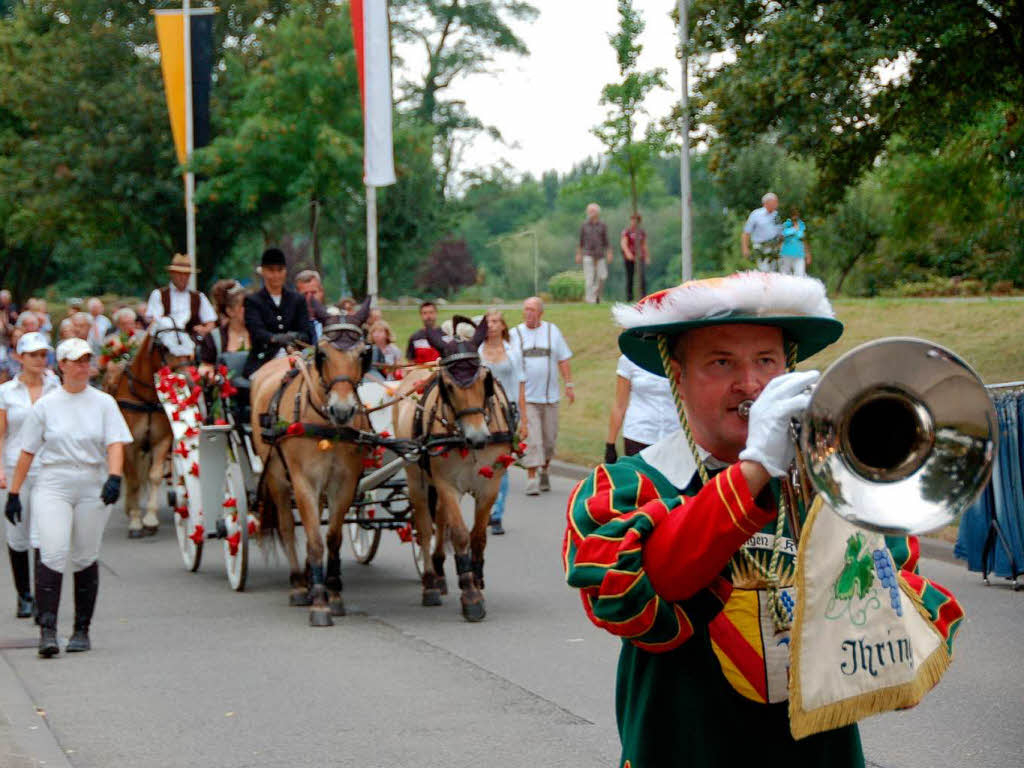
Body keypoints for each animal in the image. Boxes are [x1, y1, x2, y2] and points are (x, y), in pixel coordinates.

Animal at [108, 319, 195, 540]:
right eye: (165, 347)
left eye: (190, 344)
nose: (188, 381)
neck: (145, 397)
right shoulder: (129, 444)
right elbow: (134, 481)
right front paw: (136, 522)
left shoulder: (161, 440)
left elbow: (154, 476)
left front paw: (150, 520)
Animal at [248, 299, 372, 626]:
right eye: (322, 354)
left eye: (363, 353)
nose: (342, 410)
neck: (327, 426)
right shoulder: (303, 481)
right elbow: (314, 538)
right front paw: (318, 601)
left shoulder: (343, 483)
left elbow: (332, 537)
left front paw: (334, 593)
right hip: (276, 477)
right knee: (288, 526)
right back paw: (298, 584)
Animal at [393, 321, 516, 622]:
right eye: (448, 385)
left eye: (485, 380)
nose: (478, 437)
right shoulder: (446, 483)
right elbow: (459, 534)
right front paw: (471, 595)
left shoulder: (489, 485)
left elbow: (478, 536)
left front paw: (476, 579)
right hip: (416, 477)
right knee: (426, 527)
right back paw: (429, 583)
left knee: (440, 520)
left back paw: (439, 573)